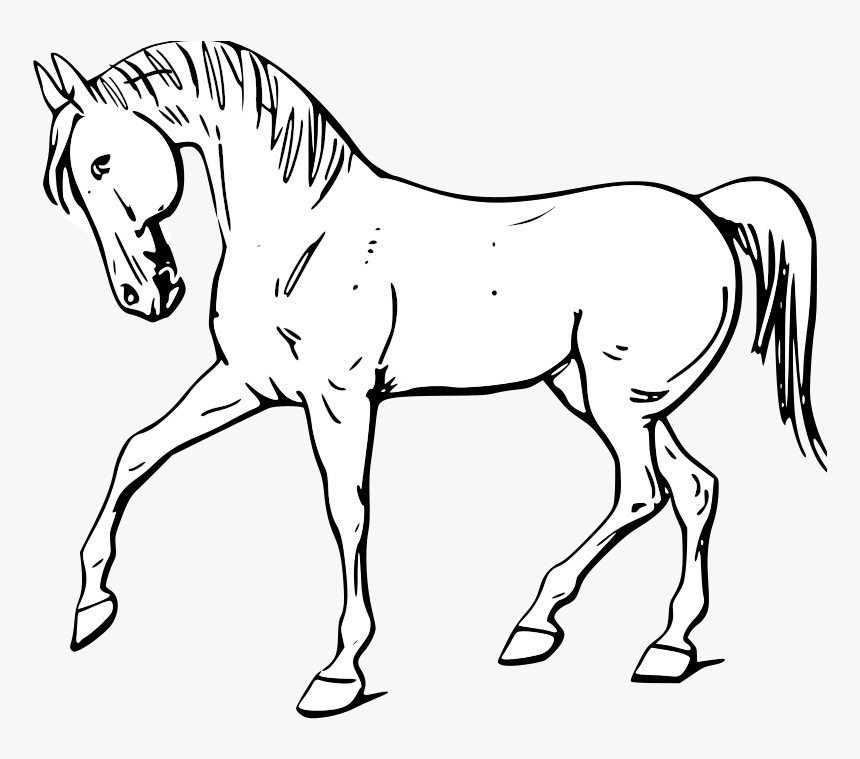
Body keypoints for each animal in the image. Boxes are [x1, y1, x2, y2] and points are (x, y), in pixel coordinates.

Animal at [34, 41, 826, 718]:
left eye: (101, 163)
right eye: (65, 186)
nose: (144, 294)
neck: (301, 235)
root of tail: (710, 212)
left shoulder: (340, 399)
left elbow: (348, 512)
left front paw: (338, 674)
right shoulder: (248, 384)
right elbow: (138, 449)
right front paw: (90, 610)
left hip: (616, 396)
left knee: (644, 490)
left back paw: (542, 624)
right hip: (607, 395)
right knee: (694, 489)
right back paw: (663, 647)